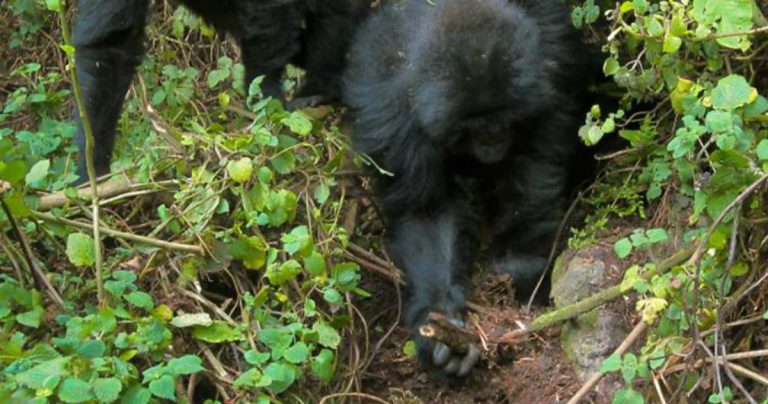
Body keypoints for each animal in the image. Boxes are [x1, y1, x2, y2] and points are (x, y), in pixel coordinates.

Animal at [344, 0, 592, 378]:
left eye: (504, 121)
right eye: (473, 128)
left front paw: (519, 272)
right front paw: (440, 319)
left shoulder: (545, 73)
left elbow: (532, 169)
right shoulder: (394, 113)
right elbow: (427, 212)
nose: (493, 139)